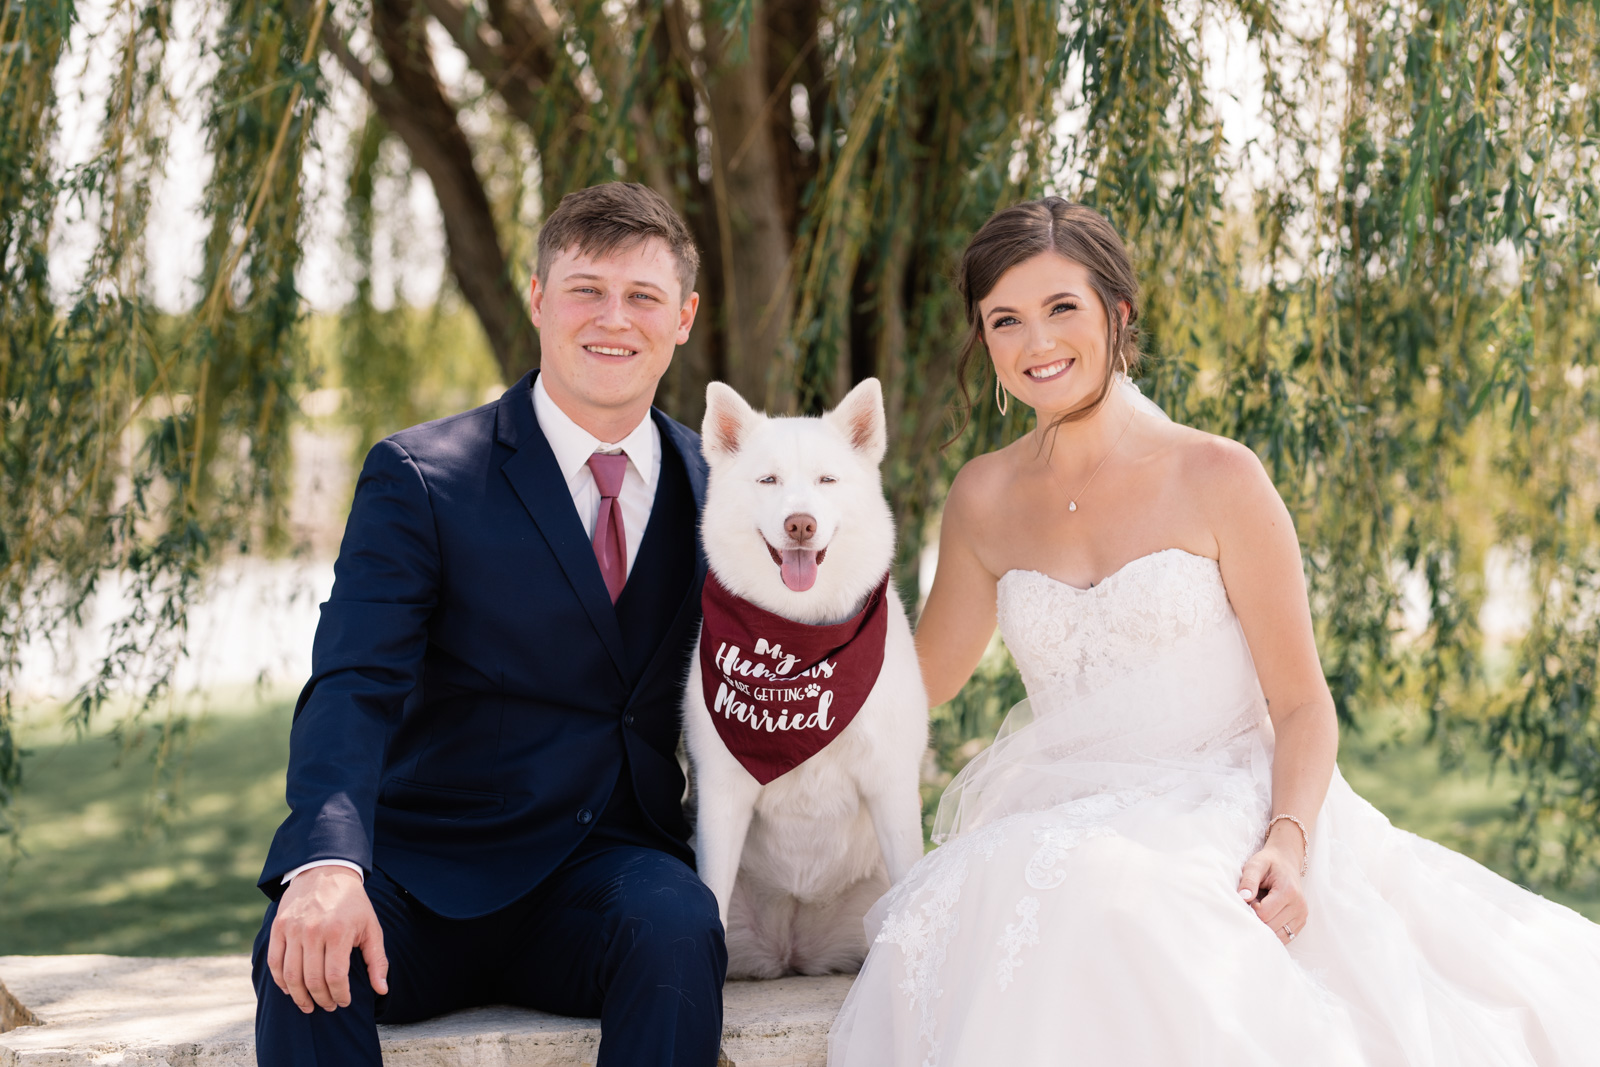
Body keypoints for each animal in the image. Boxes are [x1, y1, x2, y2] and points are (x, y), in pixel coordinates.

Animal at [681, 379, 934, 979]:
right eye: (768, 480)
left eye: (827, 480)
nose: (801, 523)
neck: (798, 640)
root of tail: (794, 952)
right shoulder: (723, 794)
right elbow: (712, 899)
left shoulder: (891, 782)